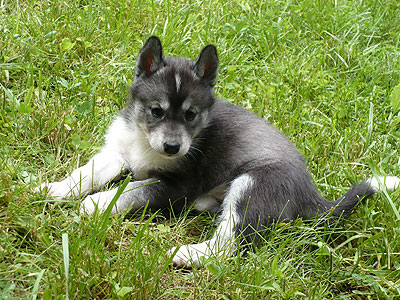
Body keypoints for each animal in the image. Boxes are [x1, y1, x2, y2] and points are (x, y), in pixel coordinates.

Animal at [36, 35, 396, 268]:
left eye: (191, 115)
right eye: (156, 111)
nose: (172, 147)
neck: (144, 141)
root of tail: (312, 194)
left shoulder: (177, 185)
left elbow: (131, 190)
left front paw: (96, 203)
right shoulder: (117, 151)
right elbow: (85, 172)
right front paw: (54, 189)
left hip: (252, 186)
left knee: (228, 244)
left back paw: (188, 254)